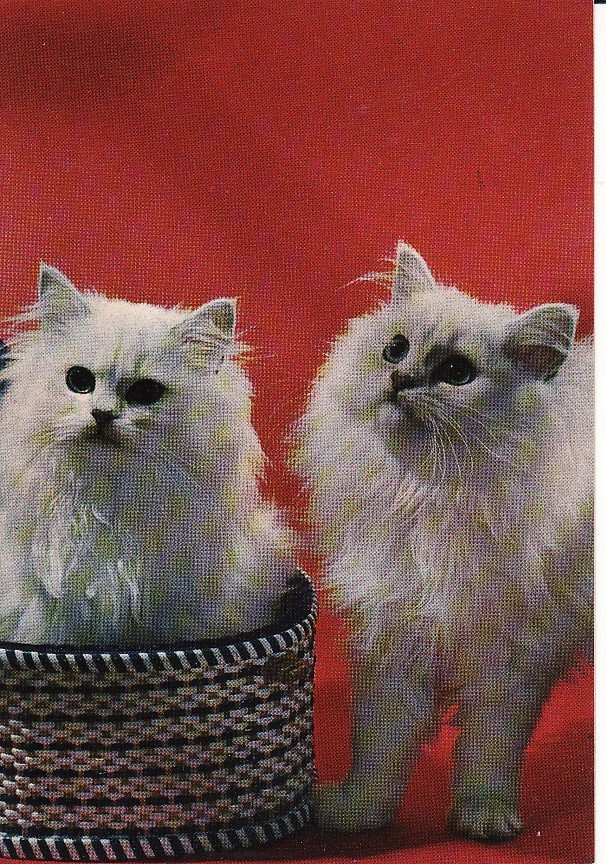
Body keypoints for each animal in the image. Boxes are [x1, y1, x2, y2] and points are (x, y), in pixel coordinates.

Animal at [295, 243, 593, 840]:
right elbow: (380, 750)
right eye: (395, 348)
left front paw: (485, 820)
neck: (429, 493)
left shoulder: (513, 658)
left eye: (456, 372)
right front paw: (355, 815)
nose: (401, 379)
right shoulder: (394, 637)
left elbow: (489, 752)